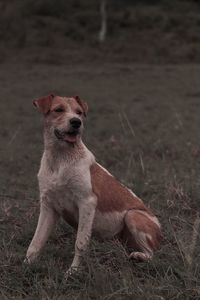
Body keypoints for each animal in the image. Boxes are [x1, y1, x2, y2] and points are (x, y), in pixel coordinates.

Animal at [25, 93, 162, 276]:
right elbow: (35, 242)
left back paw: (138, 257)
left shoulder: (87, 203)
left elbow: (80, 243)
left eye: (79, 112)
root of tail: (160, 229)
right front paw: (25, 267)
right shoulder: (48, 207)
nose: (76, 122)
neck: (61, 159)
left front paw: (73, 272)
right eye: (58, 110)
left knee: (152, 255)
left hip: (132, 215)